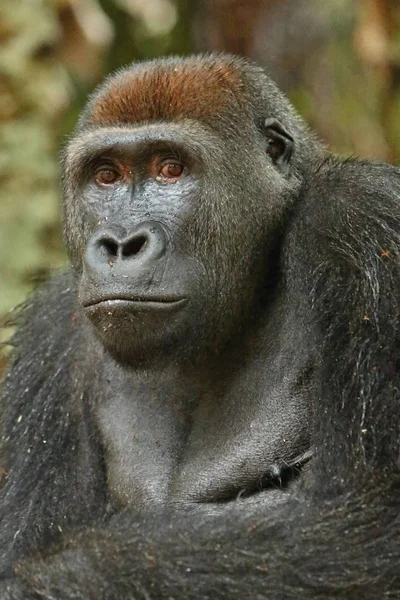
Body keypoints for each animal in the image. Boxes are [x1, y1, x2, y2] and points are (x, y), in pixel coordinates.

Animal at [0, 54, 400, 596]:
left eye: (171, 169)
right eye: (106, 176)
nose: (121, 243)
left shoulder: (362, 221)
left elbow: (370, 520)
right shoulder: (51, 340)